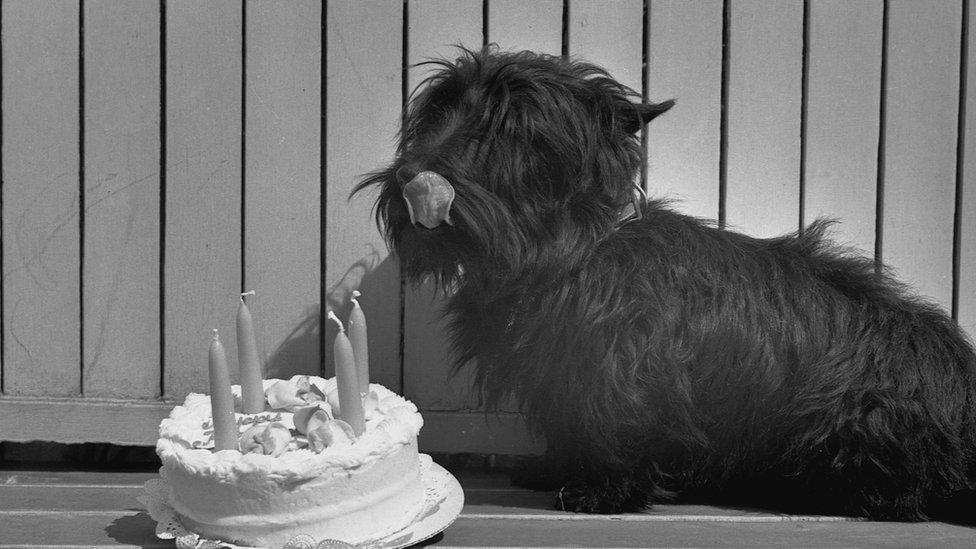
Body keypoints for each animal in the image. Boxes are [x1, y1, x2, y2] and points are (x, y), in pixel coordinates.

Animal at [354, 46, 972, 520]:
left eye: (513, 127)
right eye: (438, 111)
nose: (410, 176)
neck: (570, 249)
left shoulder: (618, 371)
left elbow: (614, 426)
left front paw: (601, 492)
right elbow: (567, 424)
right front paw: (553, 469)